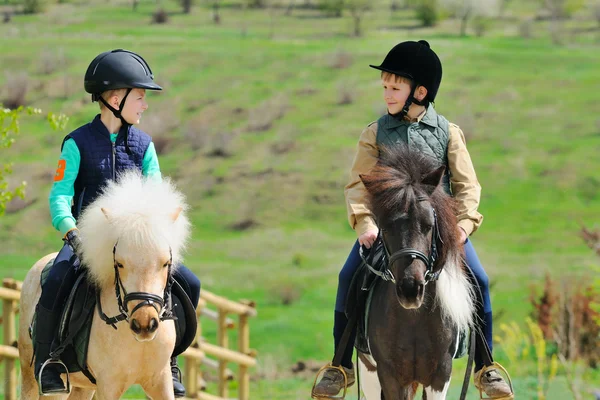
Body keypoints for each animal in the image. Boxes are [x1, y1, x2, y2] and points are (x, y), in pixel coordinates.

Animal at [18, 170, 189, 398]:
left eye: (165, 263)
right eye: (119, 263)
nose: (144, 324)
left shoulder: (160, 382)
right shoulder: (108, 385)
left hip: (83, 386)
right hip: (35, 376)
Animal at [354, 145, 476, 400]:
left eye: (429, 225)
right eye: (384, 228)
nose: (410, 290)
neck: (413, 319)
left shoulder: (440, 375)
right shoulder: (389, 377)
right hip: (369, 372)